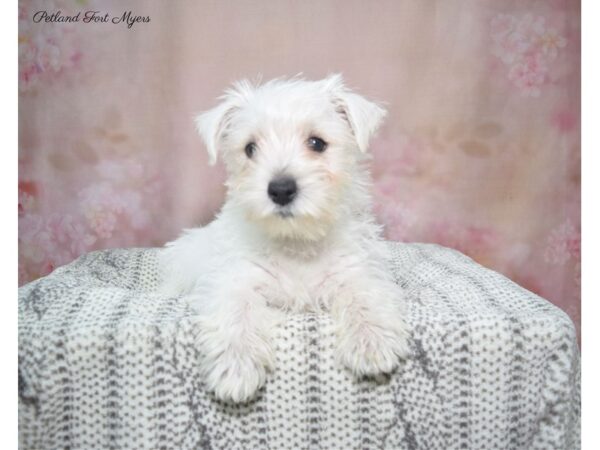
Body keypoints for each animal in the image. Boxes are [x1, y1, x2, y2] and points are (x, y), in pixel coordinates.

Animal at [161, 75, 408, 402]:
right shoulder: (235, 278)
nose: (280, 189)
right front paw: (236, 366)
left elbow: (364, 297)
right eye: (250, 148)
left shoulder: (355, 269)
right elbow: (237, 311)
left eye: (317, 143)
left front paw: (372, 340)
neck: (296, 241)